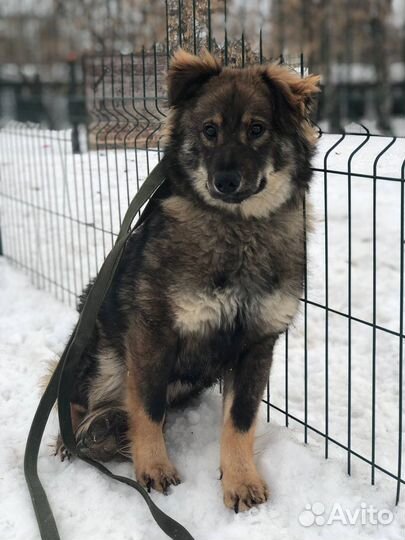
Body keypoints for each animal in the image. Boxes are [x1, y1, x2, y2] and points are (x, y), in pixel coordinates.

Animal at [58, 49, 320, 510]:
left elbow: (240, 420)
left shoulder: (257, 344)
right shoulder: (153, 331)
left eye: (257, 129)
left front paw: (240, 481)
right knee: (72, 392)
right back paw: (72, 436)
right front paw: (153, 467)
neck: (238, 230)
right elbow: (147, 408)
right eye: (209, 130)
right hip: (104, 355)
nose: (225, 181)